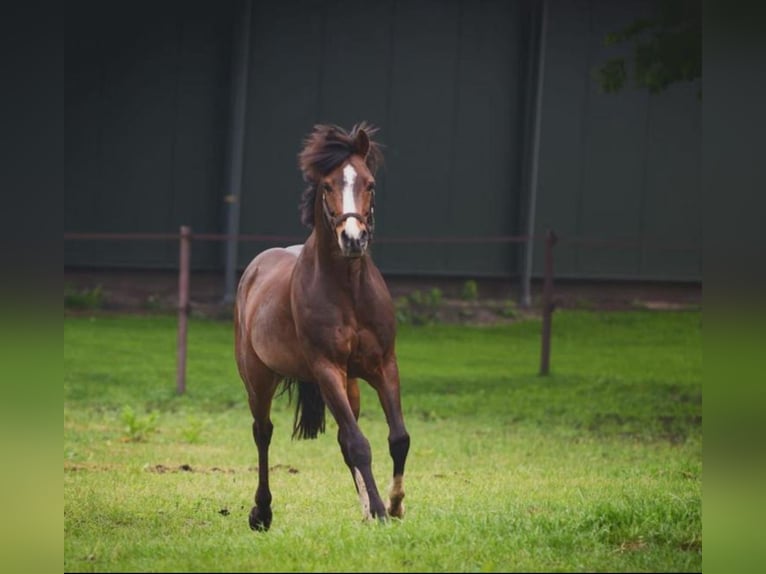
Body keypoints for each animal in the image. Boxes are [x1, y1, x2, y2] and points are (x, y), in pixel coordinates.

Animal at [234, 124, 412, 532]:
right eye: (327, 185)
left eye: (369, 183)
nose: (353, 239)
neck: (349, 291)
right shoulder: (326, 368)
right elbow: (360, 444)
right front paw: (381, 512)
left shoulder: (383, 366)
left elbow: (397, 438)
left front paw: (393, 505)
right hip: (259, 378)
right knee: (263, 433)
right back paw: (261, 512)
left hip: (350, 384)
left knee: (344, 439)